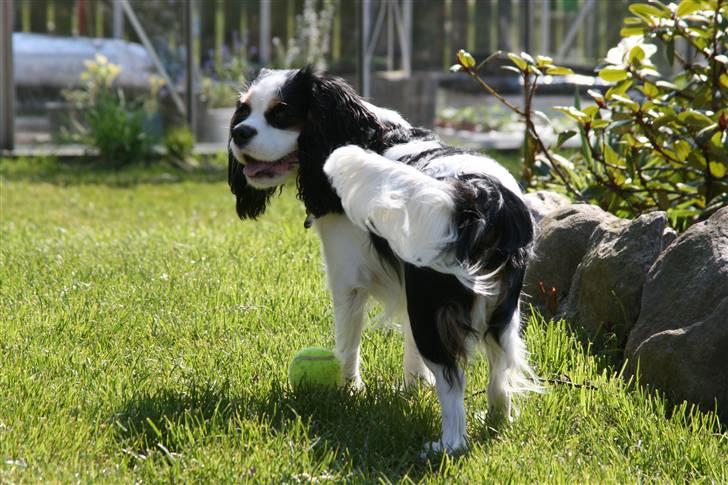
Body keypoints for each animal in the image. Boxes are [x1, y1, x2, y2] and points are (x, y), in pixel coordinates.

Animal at [228, 66, 540, 452]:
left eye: (281, 113)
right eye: (244, 112)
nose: (239, 133)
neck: (371, 134)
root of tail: (474, 195)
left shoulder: (348, 281)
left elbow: (347, 346)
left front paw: (347, 391)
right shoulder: (408, 290)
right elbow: (411, 354)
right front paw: (411, 388)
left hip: (431, 311)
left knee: (453, 380)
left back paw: (447, 445)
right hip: (501, 310)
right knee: (499, 374)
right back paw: (496, 421)